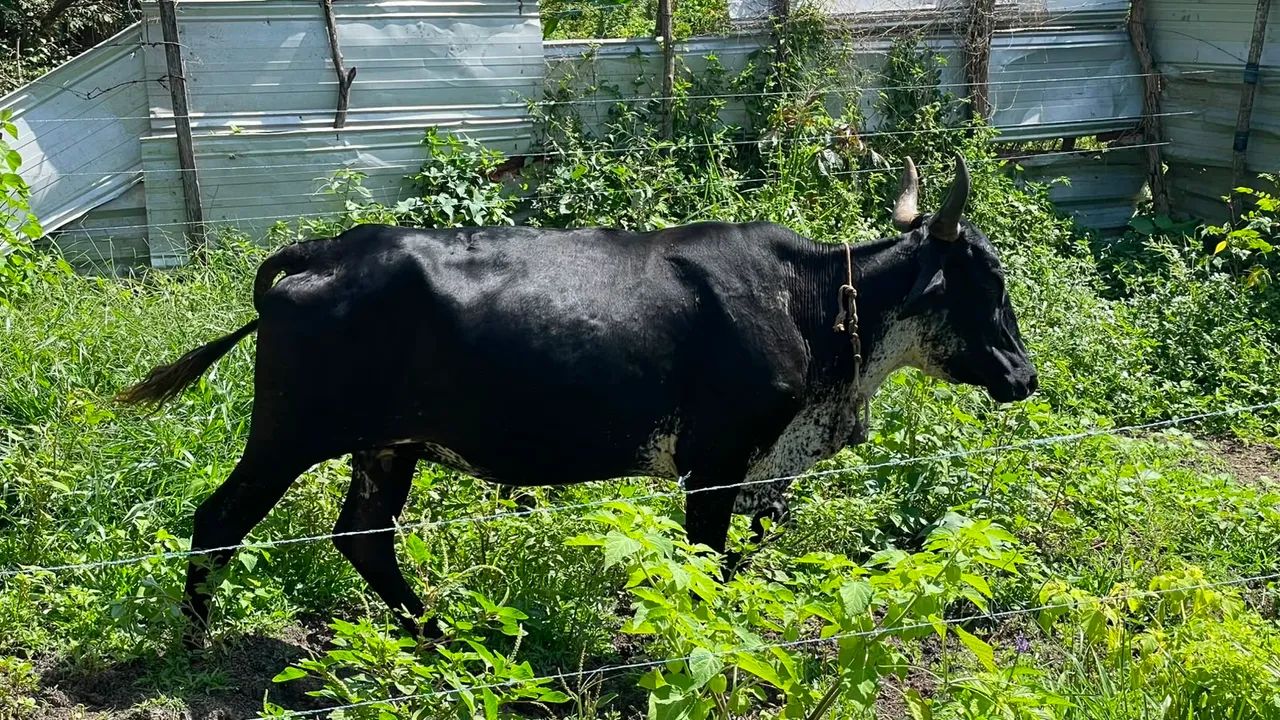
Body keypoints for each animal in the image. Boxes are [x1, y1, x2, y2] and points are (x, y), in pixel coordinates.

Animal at [116, 154, 1037, 647]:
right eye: (986, 284)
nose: (1024, 377)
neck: (811, 303)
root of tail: (323, 249)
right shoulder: (713, 465)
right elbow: (709, 561)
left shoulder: (763, 468)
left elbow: (743, 555)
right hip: (288, 433)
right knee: (220, 521)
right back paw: (196, 643)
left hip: (388, 444)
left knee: (364, 536)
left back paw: (437, 636)